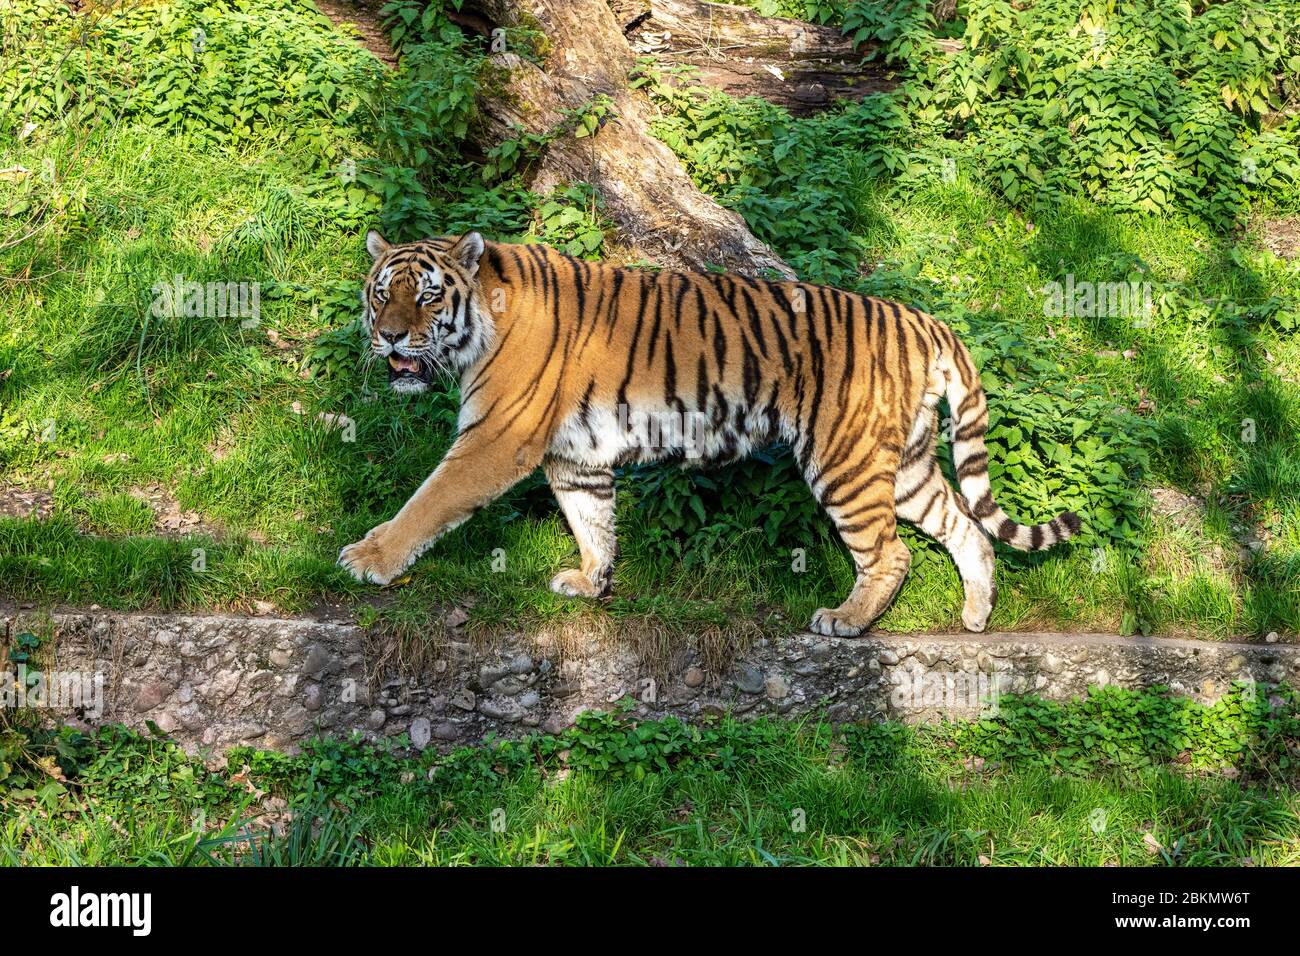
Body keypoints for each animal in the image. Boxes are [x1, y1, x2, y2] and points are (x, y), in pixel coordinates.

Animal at [338, 230, 1081, 636]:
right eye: (381, 293)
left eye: (428, 295)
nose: (389, 337)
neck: (479, 328)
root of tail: (925, 320)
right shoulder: (576, 455)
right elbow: (591, 519)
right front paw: (591, 582)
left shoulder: (496, 439)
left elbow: (429, 501)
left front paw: (369, 558)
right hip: (904, 464)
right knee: (965, 526)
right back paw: (977, 614)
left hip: (844, 459)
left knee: (892, 553)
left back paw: (845, 620)